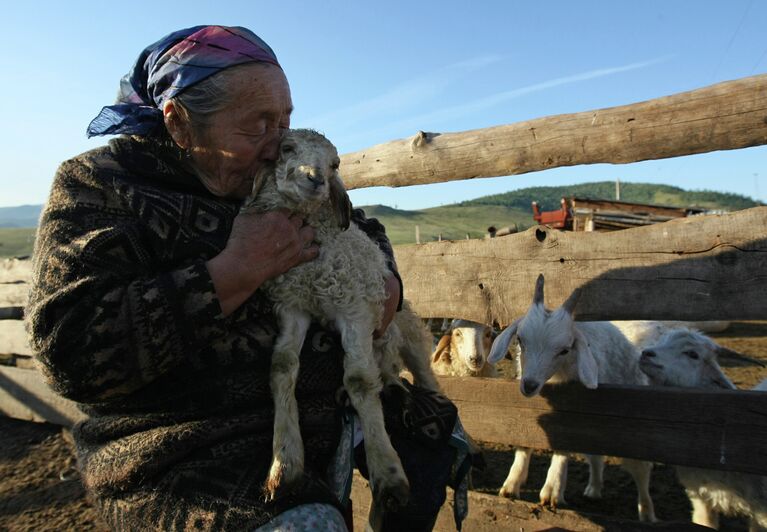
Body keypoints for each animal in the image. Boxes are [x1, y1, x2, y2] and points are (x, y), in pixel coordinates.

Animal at [243, 128, 440, 508]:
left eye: (335, 164)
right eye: (286, 147)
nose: (315, 179)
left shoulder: (355, 310)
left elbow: (360, 381)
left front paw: (388, 473)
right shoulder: (293, 305)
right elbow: (282, 366)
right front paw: (284, 463)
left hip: (407, 331)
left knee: (422, 373)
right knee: (386, 372)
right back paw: (394, 388)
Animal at [488, 276, 656, 520]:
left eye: (564, 350)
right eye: (520, 339)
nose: (529, 385)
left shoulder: (571, 412)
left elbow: (563, 444)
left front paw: (552, 490)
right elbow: (525, 441)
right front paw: (511, 484)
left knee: (642, 472)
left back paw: (647, 513)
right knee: (595, 457)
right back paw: (594, 489)